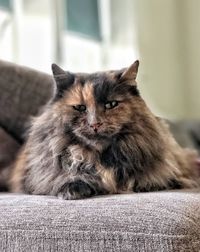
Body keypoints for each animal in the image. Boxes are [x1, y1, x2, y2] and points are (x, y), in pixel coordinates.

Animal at [9, 60, 200, 199]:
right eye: (80, 108)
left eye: (111, 104)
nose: (95, 124)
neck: (98, 157)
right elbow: (65, 178)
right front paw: (74, 189)